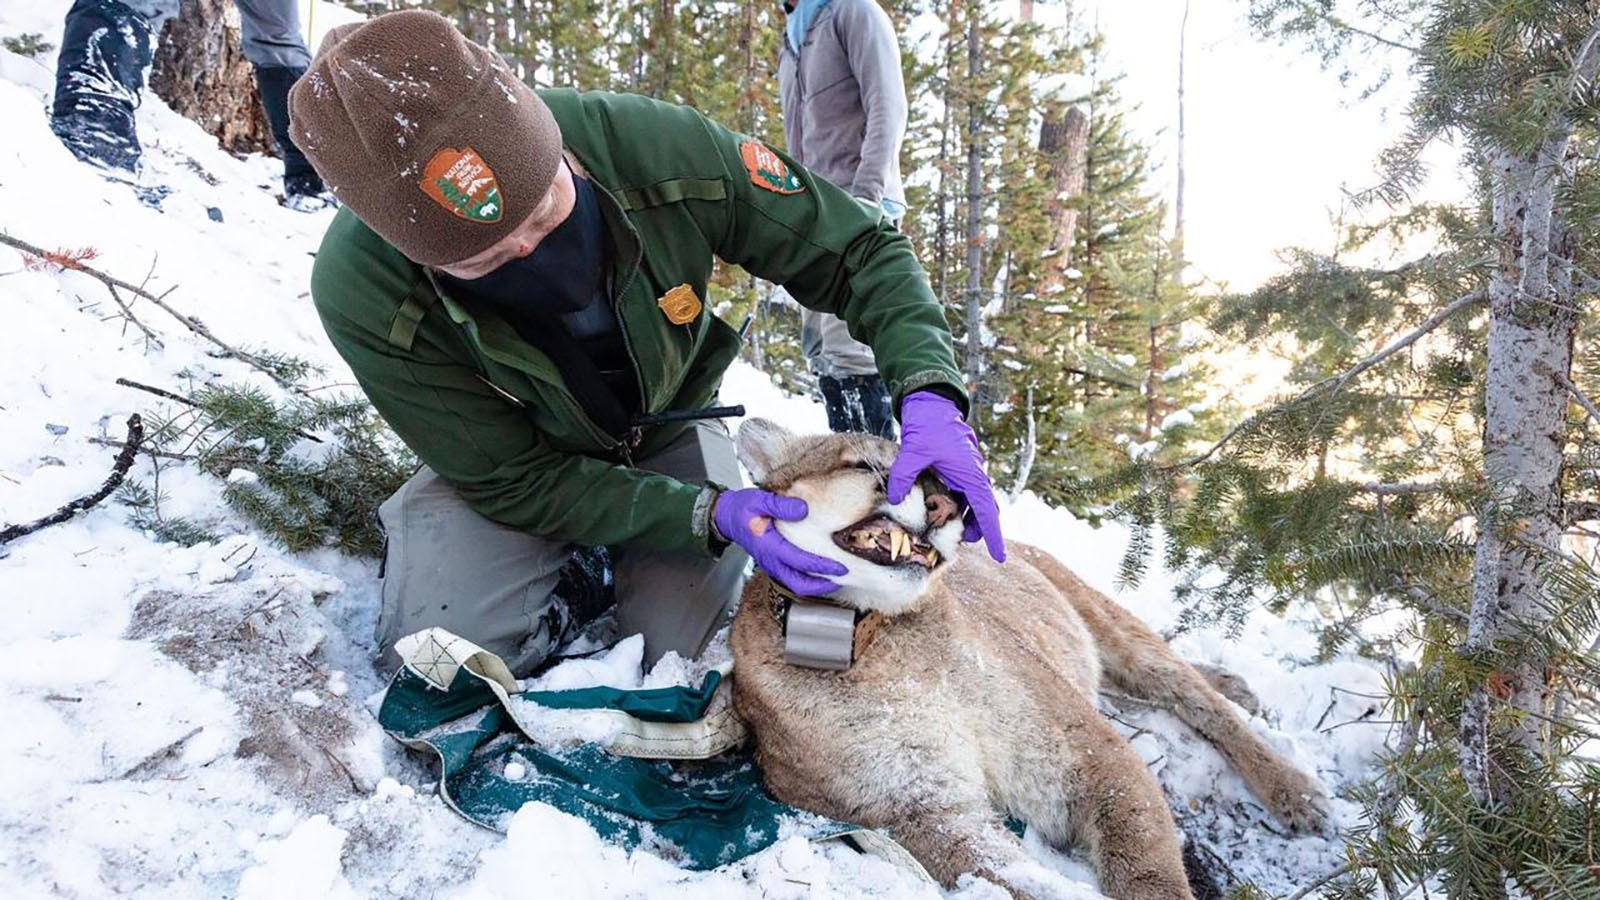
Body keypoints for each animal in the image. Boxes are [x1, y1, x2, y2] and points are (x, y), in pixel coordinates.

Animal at [728, 419, 1329, 899]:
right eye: (862, 464)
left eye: (937, 474)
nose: (949, 504)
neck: (877, 647)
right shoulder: (925, 809)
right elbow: (1022, 881)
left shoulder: (1080, 748)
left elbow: (1145, 864)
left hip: (1109, 622)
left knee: (1197, 701)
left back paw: (1293, 788)